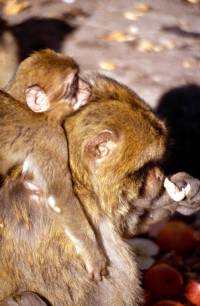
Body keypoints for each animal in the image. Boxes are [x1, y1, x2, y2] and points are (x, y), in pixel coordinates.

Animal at [0, 49, 107, 280]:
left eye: (79, 77)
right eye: (74, 83)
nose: (87, 85)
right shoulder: (52, 140)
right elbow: (61, 199)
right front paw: (94, 255)